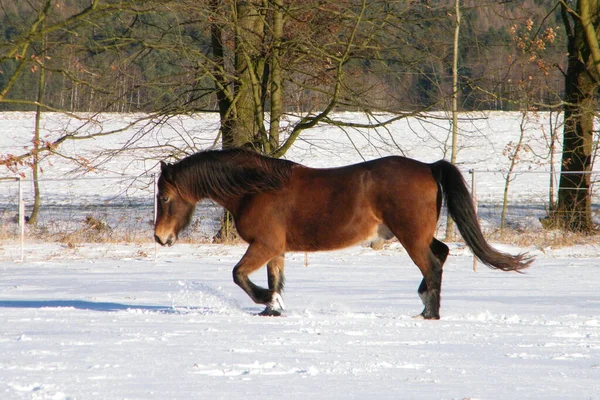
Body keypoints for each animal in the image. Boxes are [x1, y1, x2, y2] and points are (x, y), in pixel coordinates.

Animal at [152, 148, 532, 320]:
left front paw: (263, 300)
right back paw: (424, 305)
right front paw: (272, 309)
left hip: (410, 237)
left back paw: (430, 314)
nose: (159, 238)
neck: (256, 189)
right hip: (418, 236)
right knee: (441, 254)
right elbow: (275, 279)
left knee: (433, 265)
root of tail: (427, 167)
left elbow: (239, 275)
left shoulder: (264, 244)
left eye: (165, 197)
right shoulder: (276, 248)